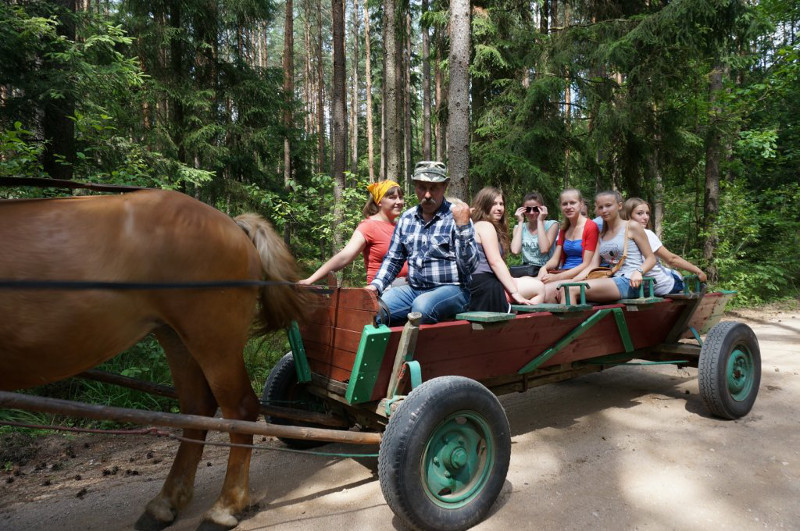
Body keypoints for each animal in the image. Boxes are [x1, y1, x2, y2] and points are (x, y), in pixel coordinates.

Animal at [0, 189, 306, 528]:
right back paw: (165, 503)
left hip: (214, 338)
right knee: (197, 410)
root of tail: (231, 222)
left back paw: (224, 507)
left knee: (239, 410)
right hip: (176, 336)